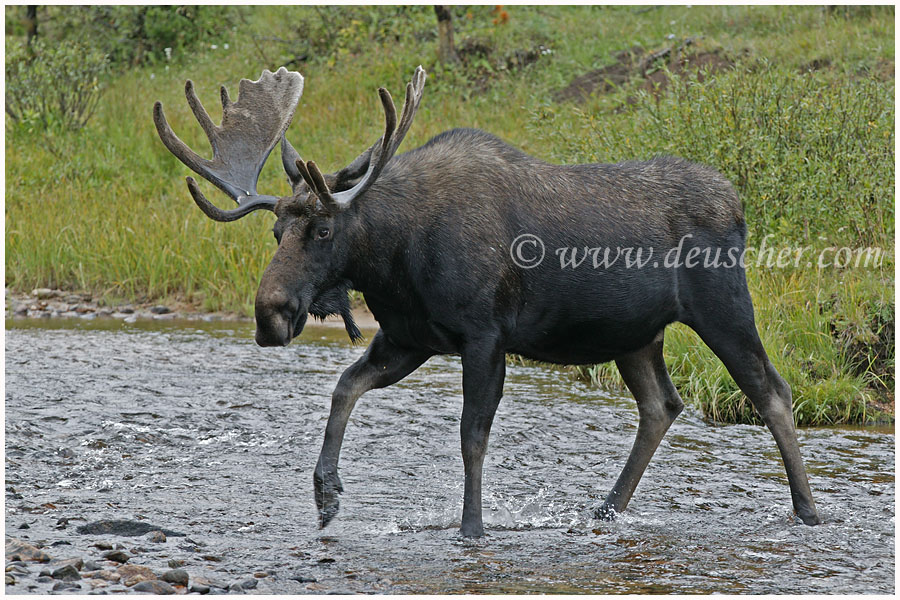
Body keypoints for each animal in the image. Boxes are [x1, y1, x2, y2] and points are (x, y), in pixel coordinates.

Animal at [156, 67, 824, 540]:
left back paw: (808, 509)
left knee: (772, 390)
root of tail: (737, 204)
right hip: (635, 335)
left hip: (722, 306)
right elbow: (345, 387)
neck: (396, 258)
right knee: (662, 404)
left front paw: (471, 527)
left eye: (322, 230)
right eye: (275, 232)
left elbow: (471, 433)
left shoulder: (484, 335)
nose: (269, 315)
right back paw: (604, 511)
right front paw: (326, 495)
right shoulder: (408, 338)